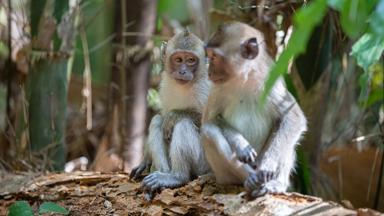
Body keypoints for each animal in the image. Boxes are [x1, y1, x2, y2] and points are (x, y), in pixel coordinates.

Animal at [130, 29, 212, 200]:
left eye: (191, 60)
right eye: (178, 59)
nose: (182, 71)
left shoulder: (208, 87)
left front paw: (175, 114)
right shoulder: (165, 84)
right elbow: (163, 114)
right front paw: (145, 160)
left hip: (204, 164)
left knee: (183, 124)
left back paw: (177, 177)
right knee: (157, 121)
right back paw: (162, 175)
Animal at [201, 22, 306, 197]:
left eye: (214, 57)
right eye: (209, 56)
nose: (209, 72)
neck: (245, 77)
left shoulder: (270, 81)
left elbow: (293, 117)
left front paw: (269, 164)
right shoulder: (217, 88)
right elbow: (210, 119)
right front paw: (241, 145)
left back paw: (276, 184)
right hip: (221, 173)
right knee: (209, 131)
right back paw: (251, 179)